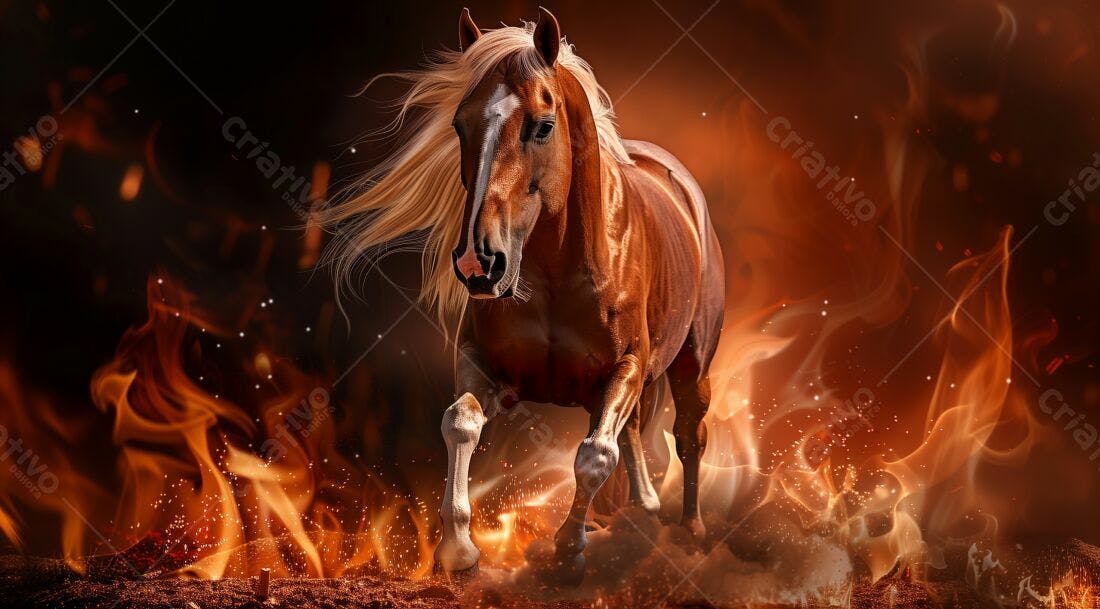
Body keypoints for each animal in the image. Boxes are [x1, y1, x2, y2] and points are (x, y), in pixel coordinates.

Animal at [320, 8, 724, 582]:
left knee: (688, 436)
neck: (560, 270)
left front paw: (567, 550)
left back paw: (688, 532)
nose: (479, 263)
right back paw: (637, 517)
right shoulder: (484, 364)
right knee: (633, 438)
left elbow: (594, 456)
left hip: (692, 363)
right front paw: (459, 550)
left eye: (543, 126)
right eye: (460, 124)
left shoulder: (626, 366)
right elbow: (460, 423)